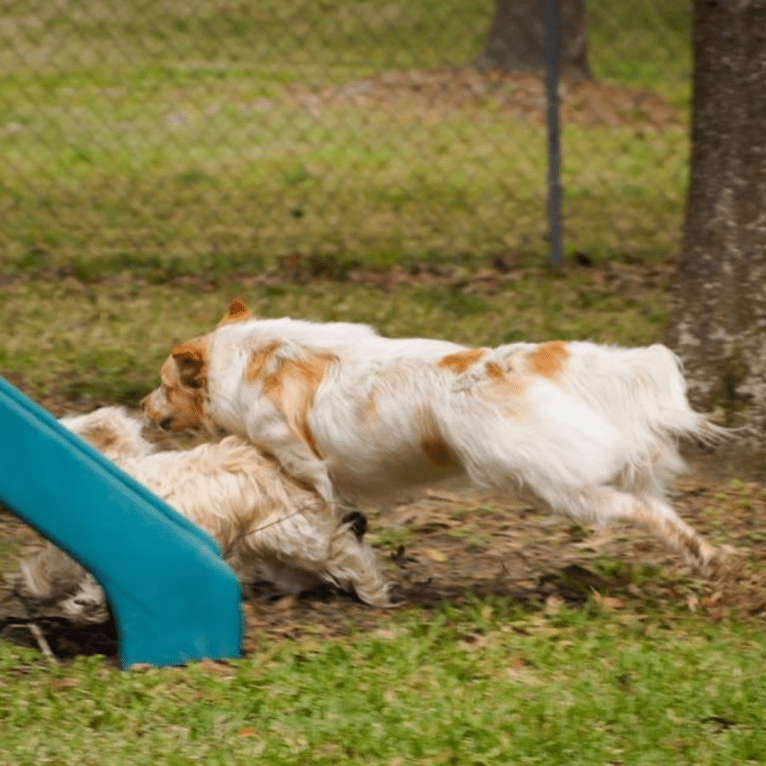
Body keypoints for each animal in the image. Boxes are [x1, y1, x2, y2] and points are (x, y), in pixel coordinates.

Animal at [141, 300, 736, 576]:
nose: (142, 406)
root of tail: (528, 359)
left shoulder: (303, 463)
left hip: (563, 488)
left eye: (163, 385)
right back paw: (709, 553)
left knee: (639, 510)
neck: (252, 358)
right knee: (660, 508)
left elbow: (319, 510)